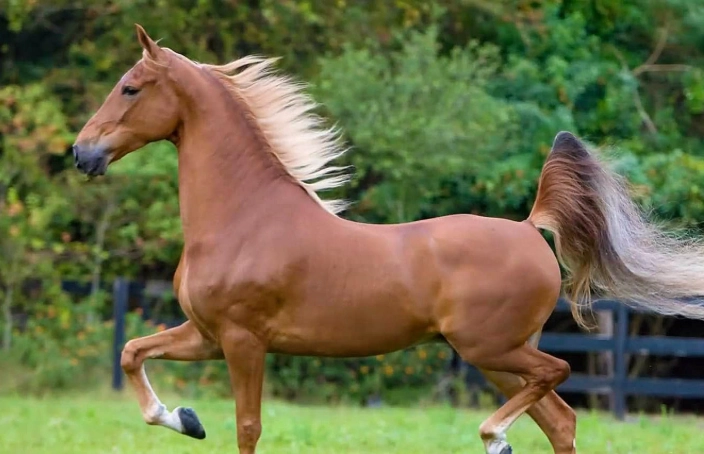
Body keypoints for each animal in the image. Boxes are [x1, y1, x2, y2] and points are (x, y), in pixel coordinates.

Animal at [72, 24, 704, 454]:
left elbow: (248, 426)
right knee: (561, 419)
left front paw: (195, 419)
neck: (242, 219)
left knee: (557, 377)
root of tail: (531, 227)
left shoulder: (242, 340)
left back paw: (493, 433)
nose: (82, 153)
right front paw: (185, 418)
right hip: (496, 356)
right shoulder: (206, 335)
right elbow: (132, 353)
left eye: (130, 89)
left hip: (490, 348)